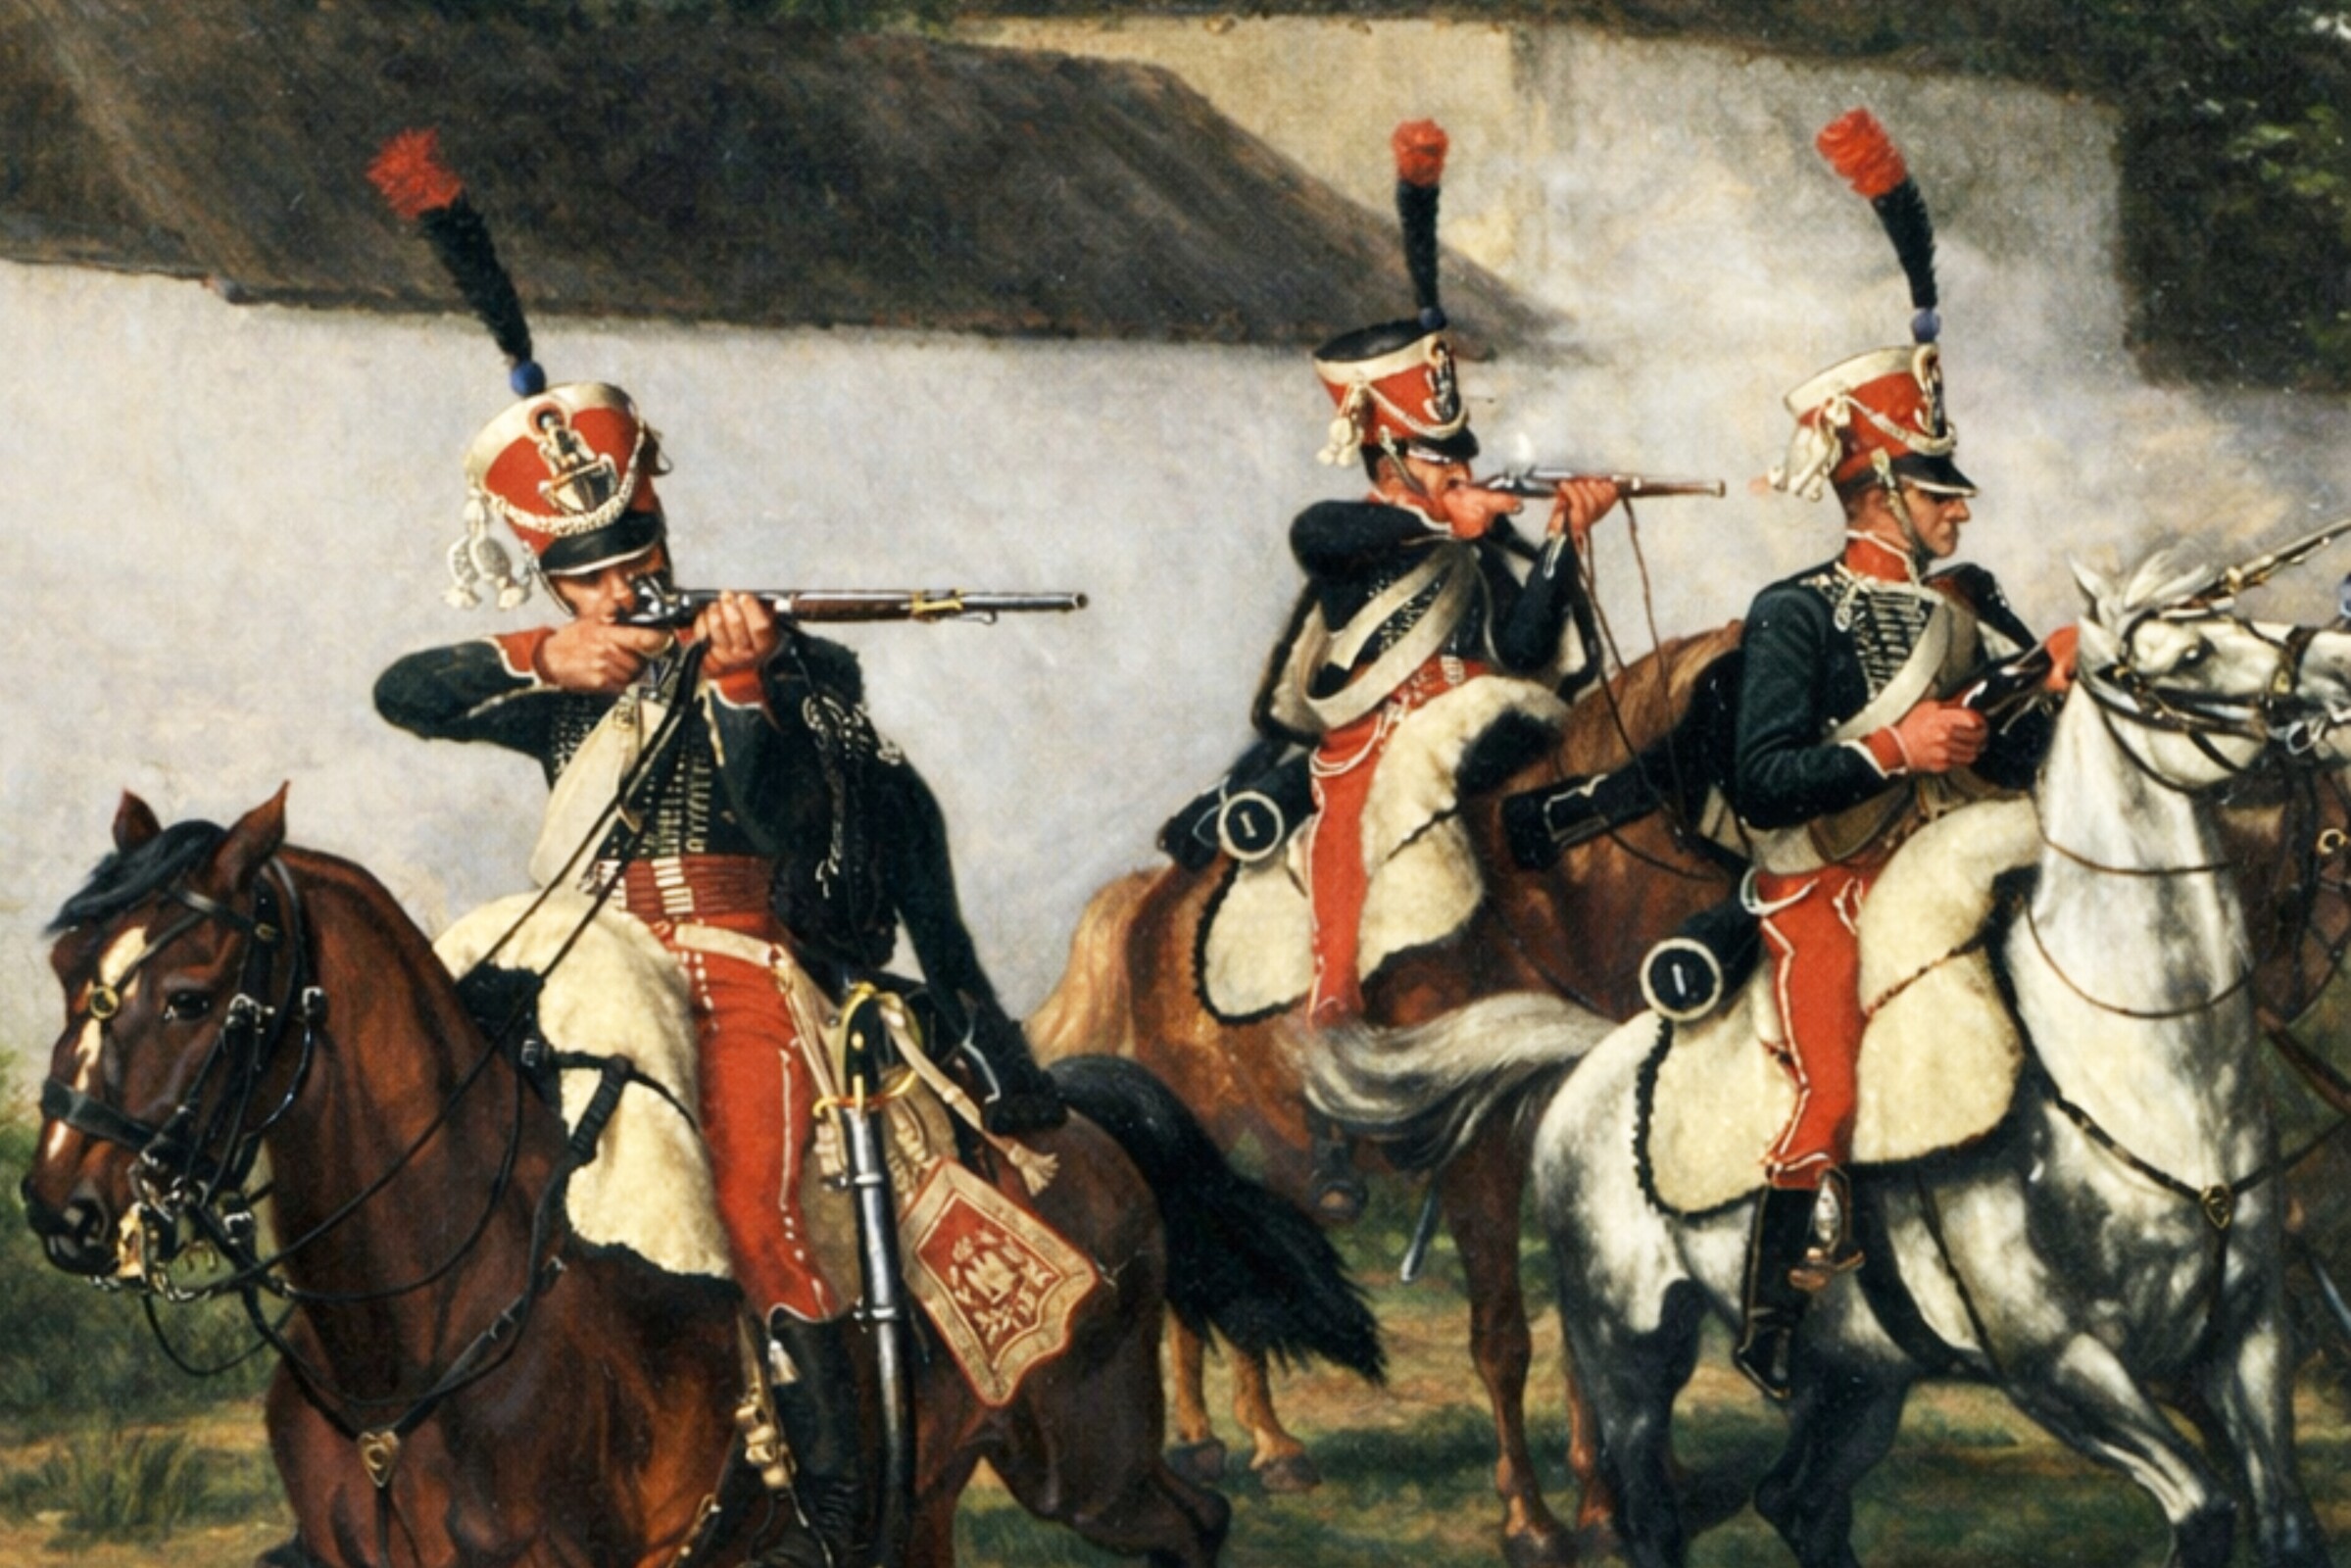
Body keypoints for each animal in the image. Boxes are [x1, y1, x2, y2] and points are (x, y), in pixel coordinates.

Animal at [20, 787, 1379, 1568]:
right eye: (69, 969)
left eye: (190, 995)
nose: (62, 1208)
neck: (422, 1328)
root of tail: (1074, 1116)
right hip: (927, 1493)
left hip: (1082, 1461)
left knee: (1194, 1526)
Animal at [1028, 625, 1741, 1566]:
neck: (1548, 905)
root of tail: (1145, 900)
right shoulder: (1479, 1163)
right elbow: (1503, 1339)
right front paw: (1533, 1519)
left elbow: (1585, 1336)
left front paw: (1612, 1501)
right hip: (1202, 1126)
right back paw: (1231, 1444)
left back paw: (1247, 1443)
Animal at [1336, 547, 2351, 1568]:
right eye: (2190, 652)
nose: (2338, 666)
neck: (2141, 1065)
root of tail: (1597, 1059)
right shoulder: (2054, 1364)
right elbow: (2205, 1509)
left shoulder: (2248, 1341)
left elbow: (2285, 1523)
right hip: (1631, 1344)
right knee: (1650, 1509)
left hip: (1855, 1376)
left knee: (1798, 1500)